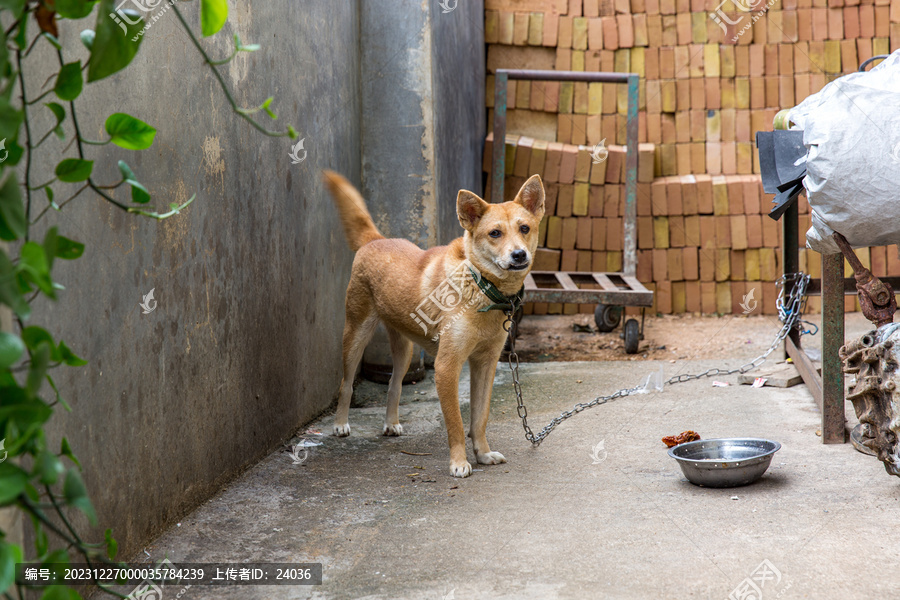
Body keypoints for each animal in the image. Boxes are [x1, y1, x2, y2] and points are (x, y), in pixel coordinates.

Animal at [326, 170, 544, 478]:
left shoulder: (485, 364)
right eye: (495, 233)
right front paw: (459, 463)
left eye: (524, 228)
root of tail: (375, 239)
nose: (519, 255)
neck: (481, 286)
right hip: (355, 335)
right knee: (346, 383)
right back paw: (340, 424)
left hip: (405, 350)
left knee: (394, 383)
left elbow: (480, 418)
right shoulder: (446, 367)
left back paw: (390, 423)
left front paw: (483, 454)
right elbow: (457, 423)